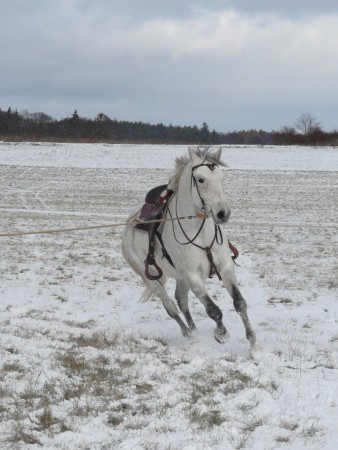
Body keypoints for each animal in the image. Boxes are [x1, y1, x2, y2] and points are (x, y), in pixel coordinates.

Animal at [121, 146, 256, 354]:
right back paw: (189, 336)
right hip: (151, 278)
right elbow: (213, 310)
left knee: (181, 301)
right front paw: (221, 333)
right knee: (171, 306)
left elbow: (239, 303)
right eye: (200, 179)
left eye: (222, 178)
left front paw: (253, 343)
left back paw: (194, 330)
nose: (223, 213)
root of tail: (128, 226)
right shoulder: (193, 276)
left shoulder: (225, 267)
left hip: (180, 277)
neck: (200, 232)